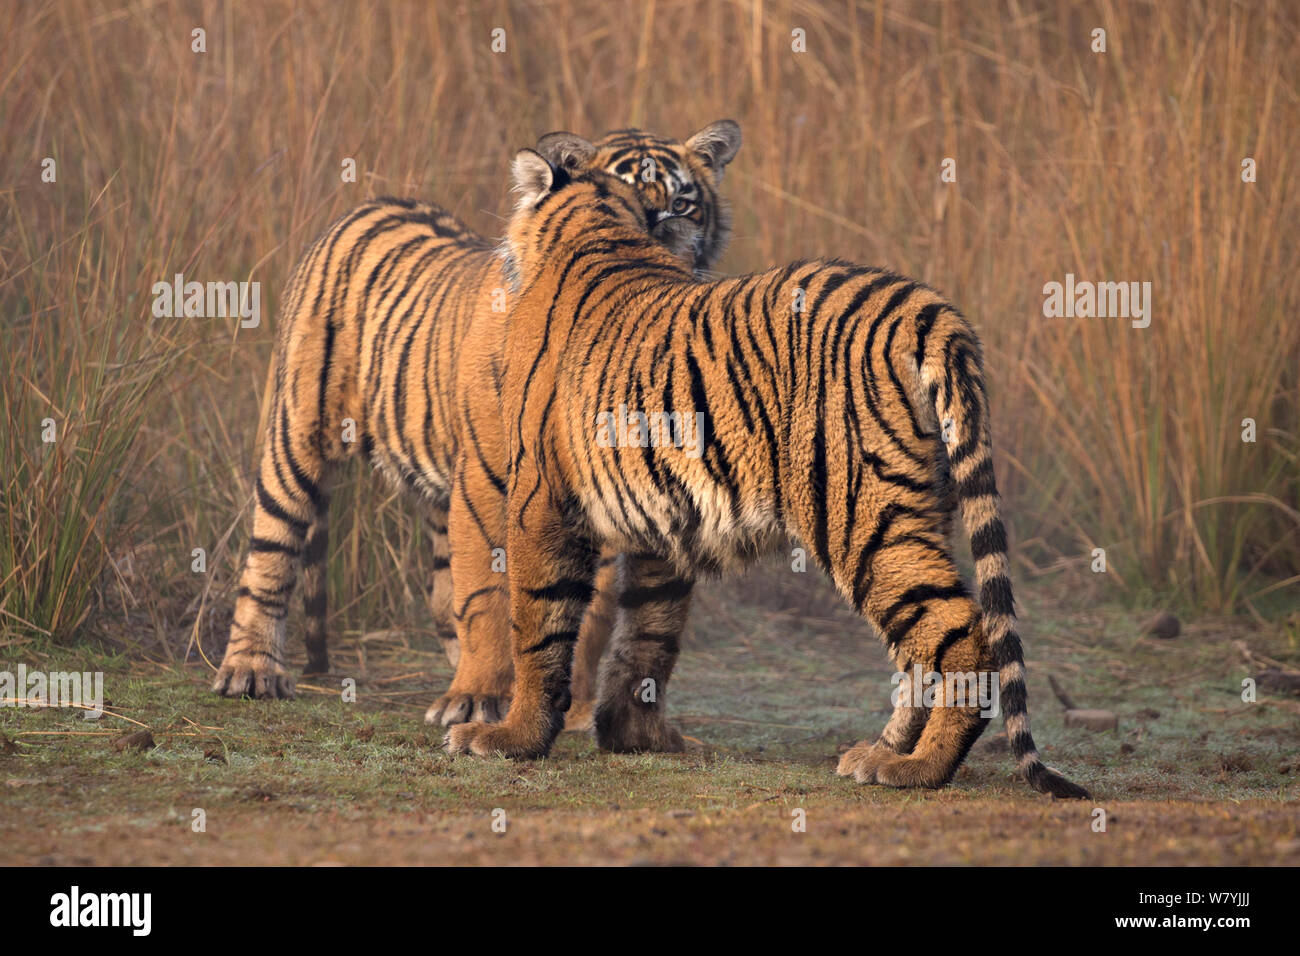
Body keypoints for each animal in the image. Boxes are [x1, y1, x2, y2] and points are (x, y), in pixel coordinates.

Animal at [210, 123, 743, 728]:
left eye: (682, 206)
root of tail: (372, 203)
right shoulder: (487, 482)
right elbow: (488, 595)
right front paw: (476, 700)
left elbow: (589, 612)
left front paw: (572, 704)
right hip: (297, 434)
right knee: (271, 549)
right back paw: (251, 670)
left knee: (445, 591)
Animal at [441, 141, 1092, 801]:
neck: (600, 228)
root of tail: (923, 307)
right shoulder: (658, 519)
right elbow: (648, 633)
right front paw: (637, 736)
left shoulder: (539, 499)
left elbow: (537, 625)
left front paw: (511, 737)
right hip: (920, 503)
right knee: (919, 643)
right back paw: (879, 751)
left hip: (861, 512)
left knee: (962, 631)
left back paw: (917, 768)